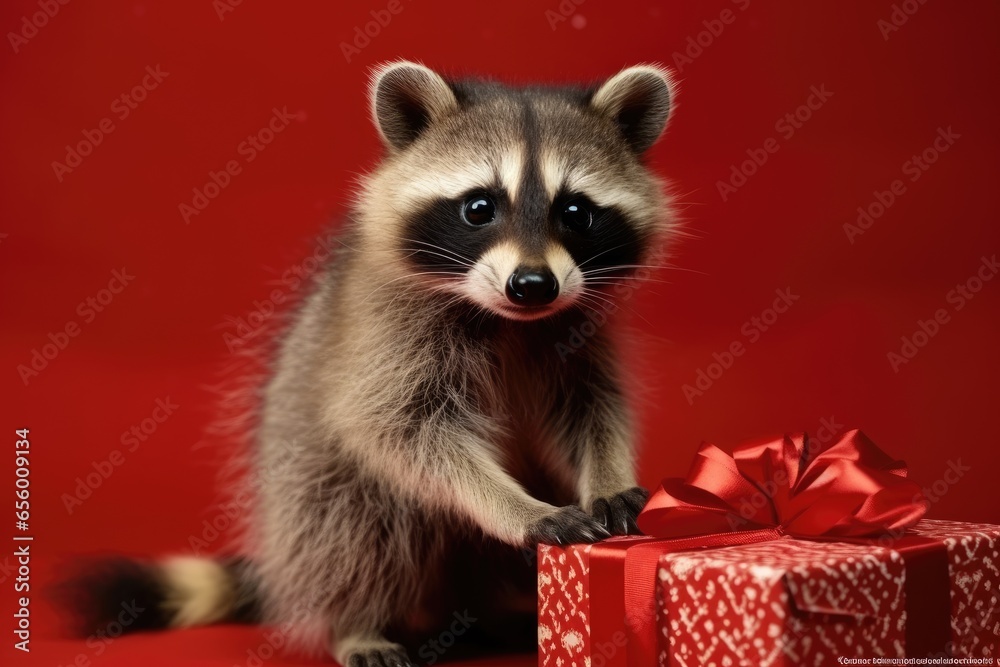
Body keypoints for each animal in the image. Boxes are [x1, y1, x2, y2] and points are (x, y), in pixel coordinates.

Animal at [61, 61, 676, 666]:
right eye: (479, 208)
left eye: (575, 212)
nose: (532, 286)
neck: (510, 319)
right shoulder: (390, 337)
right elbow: (399, 430)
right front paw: (517, 506)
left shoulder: (578, 332)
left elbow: (592, 409)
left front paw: (609, 474)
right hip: (305, 486)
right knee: (357, 525)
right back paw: (356, 624)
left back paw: (496, 615)